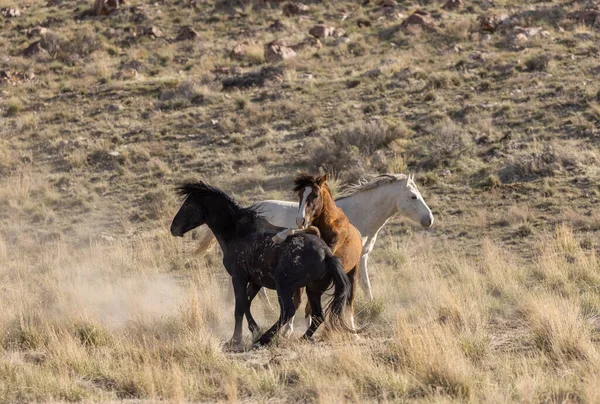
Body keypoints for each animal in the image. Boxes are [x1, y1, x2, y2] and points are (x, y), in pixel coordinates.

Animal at [170, 181, 352, 346]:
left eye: (188, 204)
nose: (173, 228)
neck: (239, 232)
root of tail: (327, 254)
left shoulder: (239, 278)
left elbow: (239, 307)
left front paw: (235, 339)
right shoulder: (256, 281)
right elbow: (246, 304)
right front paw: (254, 330)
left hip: (284, 286)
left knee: (288, 311)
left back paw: (265, 338)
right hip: (313, 290)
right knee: (317, 315)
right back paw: (300, 339)